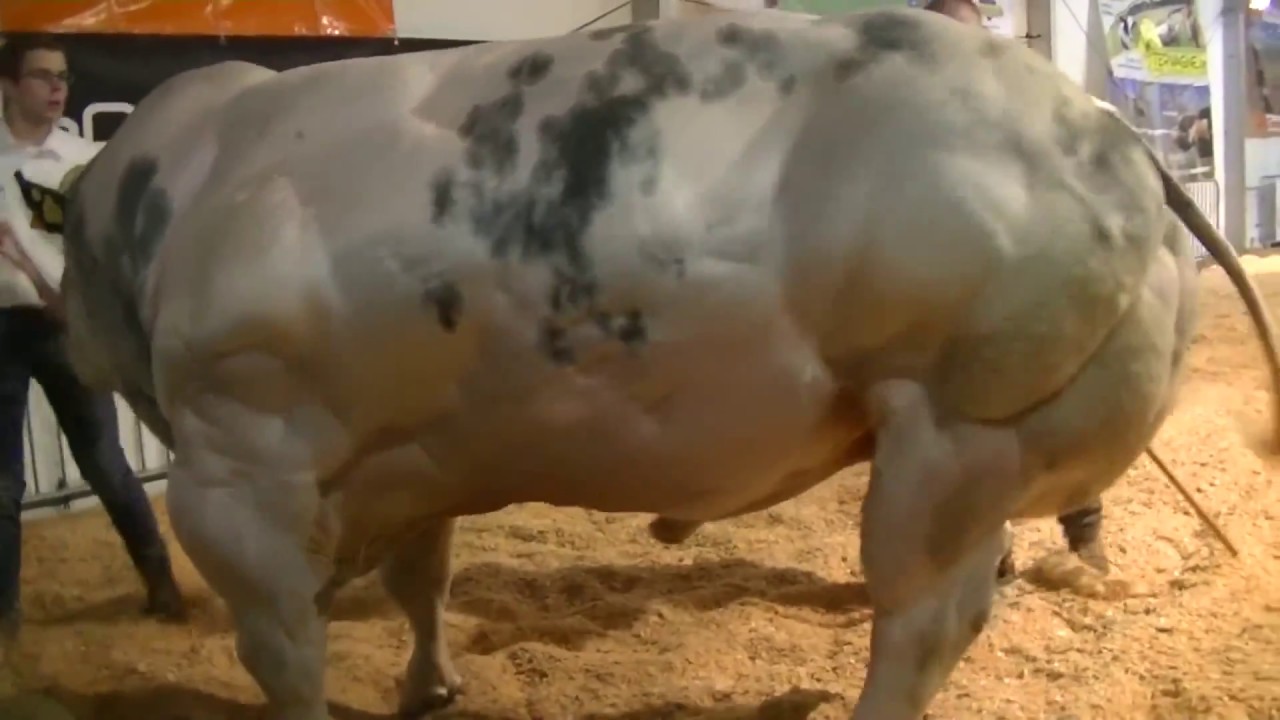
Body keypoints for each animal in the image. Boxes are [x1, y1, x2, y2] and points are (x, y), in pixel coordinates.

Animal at [18, 8, 1280, 720]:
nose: (59, 325)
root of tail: (1107, 131)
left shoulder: (238, 455)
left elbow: (280, 646)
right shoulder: (415, 452)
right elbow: (423, 582)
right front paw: (430, 688)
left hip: (956, 431)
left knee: (924, 619)